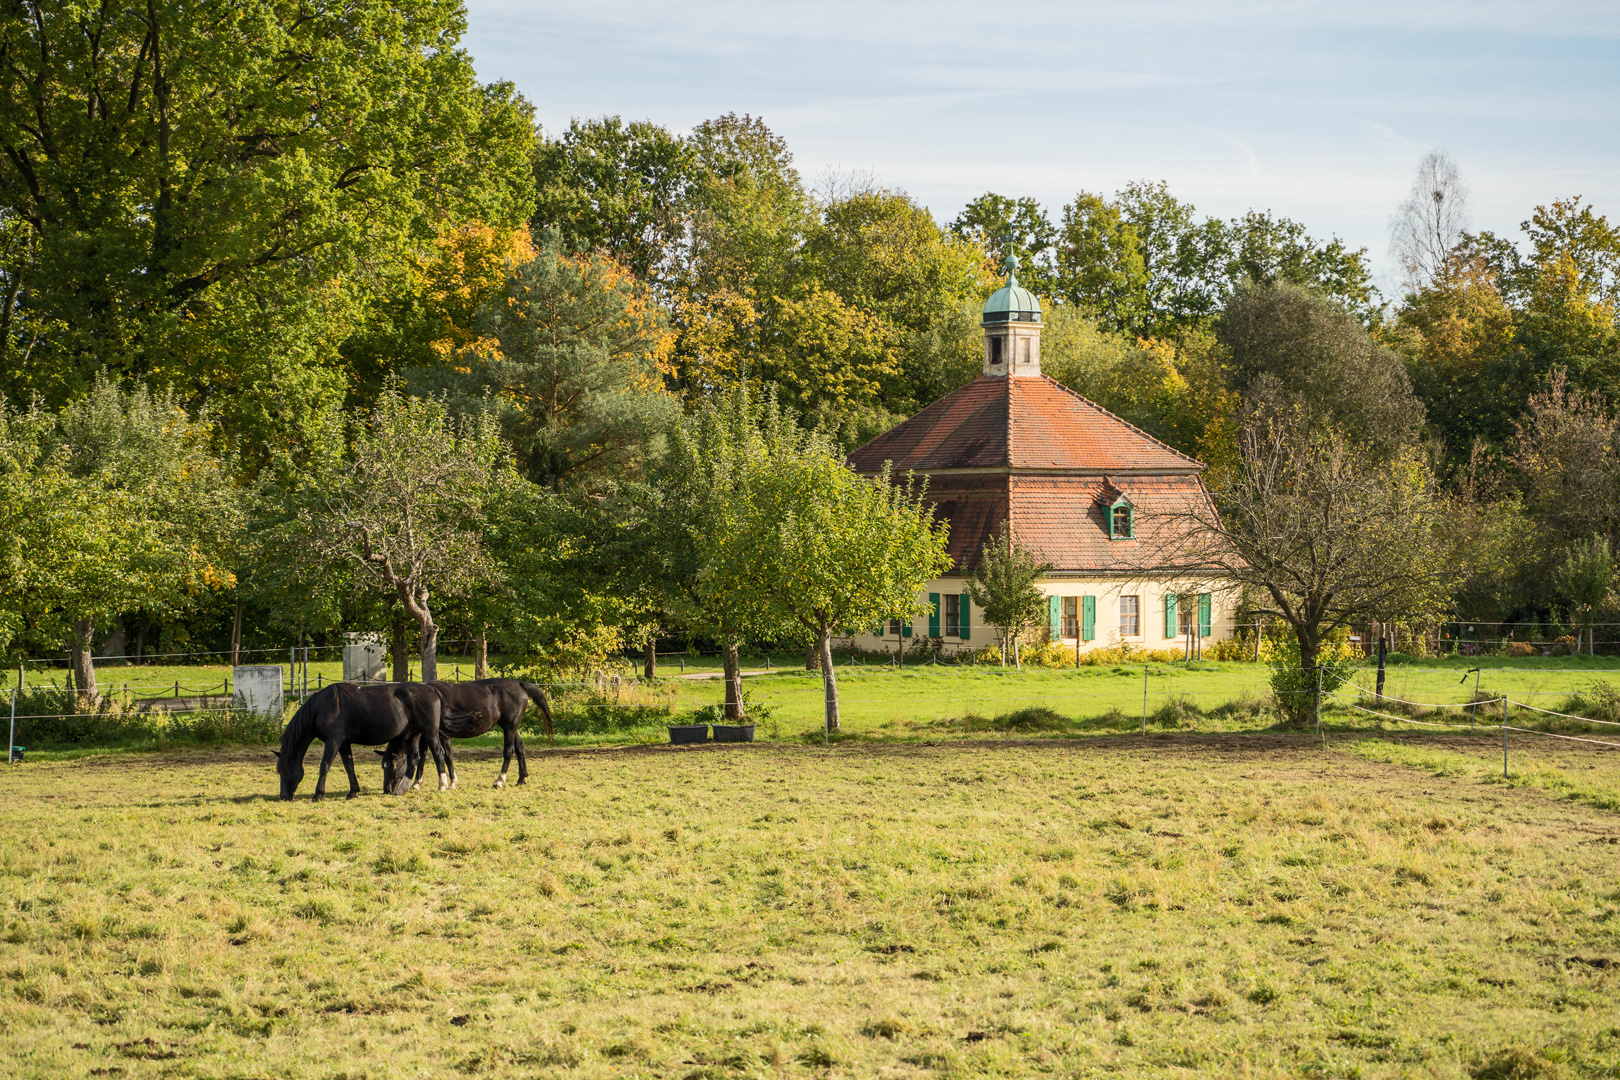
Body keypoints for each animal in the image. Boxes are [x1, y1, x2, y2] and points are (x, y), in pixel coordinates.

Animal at [272, 683, 450, 803]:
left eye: (283, 770)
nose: (284, 796)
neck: (322, 707)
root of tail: (431, 690)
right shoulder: (343, 743)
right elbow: (349, 766)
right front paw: (353, 792)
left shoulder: (333, 741)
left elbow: (325, 765)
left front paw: (318, 794)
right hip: (411, 735)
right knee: (414, 759)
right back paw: (402, 789)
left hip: (429, 733)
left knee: (438, 754)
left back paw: (443, 785)